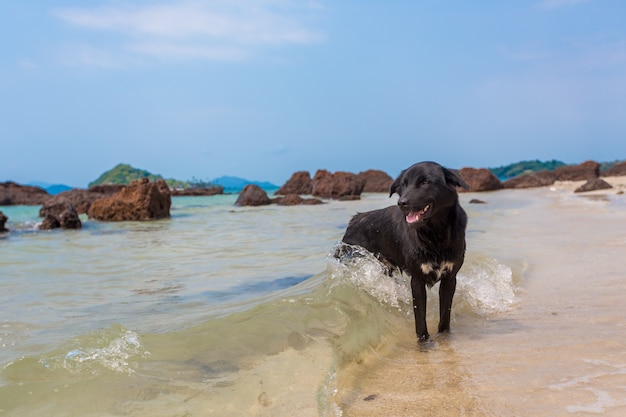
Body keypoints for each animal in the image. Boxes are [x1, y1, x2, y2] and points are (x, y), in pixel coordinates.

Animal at [338, 161, 466, 340]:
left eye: (425, 182)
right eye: (403, 185)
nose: (401, 203)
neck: (435, 234)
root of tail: (355, 219)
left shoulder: (450, 278)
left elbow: (444, 317)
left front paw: (443, 336)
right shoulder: (417, 281)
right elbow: (420, 320)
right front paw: (423, 342)